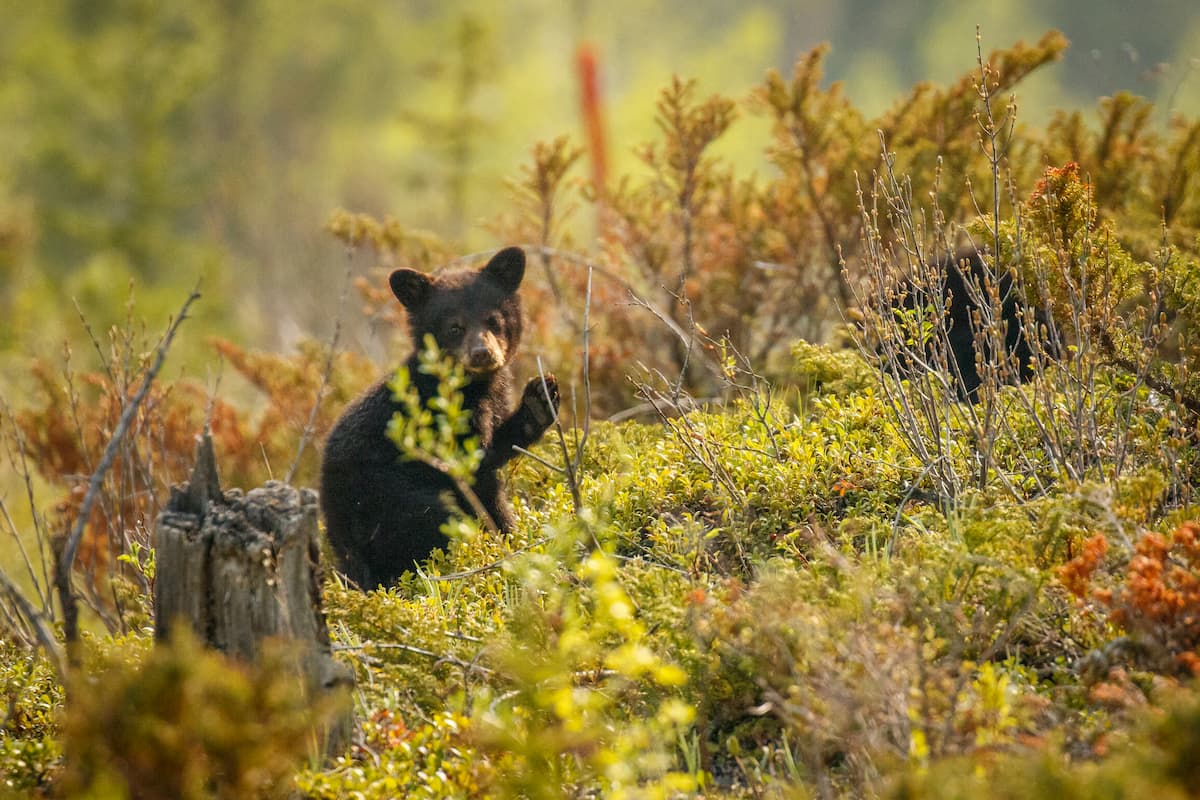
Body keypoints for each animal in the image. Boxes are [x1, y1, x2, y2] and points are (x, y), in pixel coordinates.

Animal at [319, 246, 559, 588]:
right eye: (454, 327)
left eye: (494, 319)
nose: (482, 353)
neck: (472, 389)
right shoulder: (437, 426)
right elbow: (479, 476)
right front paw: (507, 537)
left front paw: (540, 399)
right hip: (388, 501)